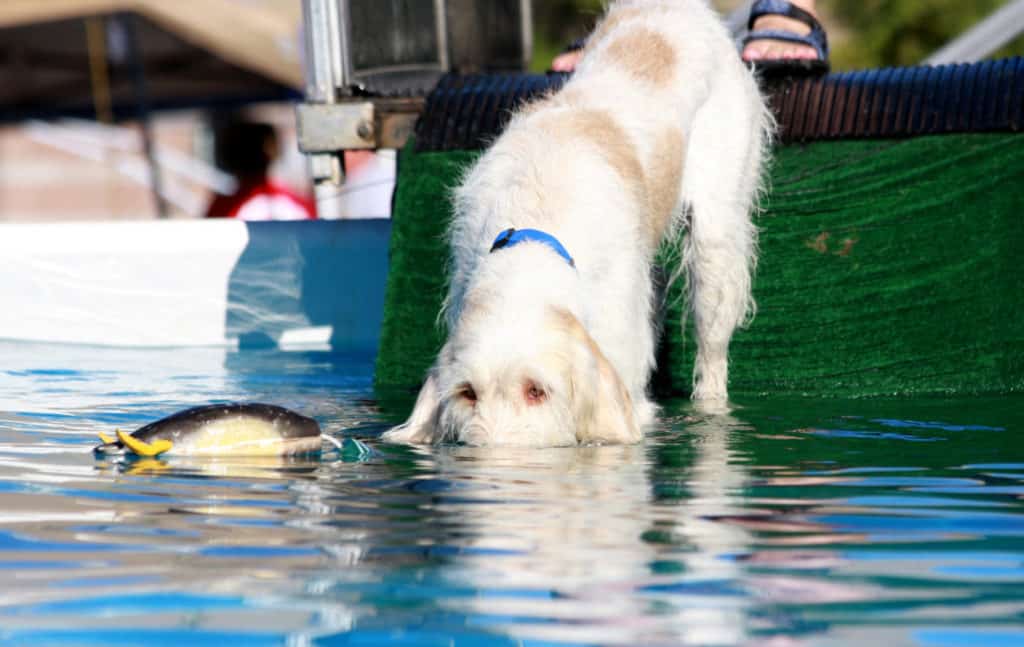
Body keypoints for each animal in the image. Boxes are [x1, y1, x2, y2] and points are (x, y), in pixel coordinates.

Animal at [385, 0, 770, 444]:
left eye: (537, 390)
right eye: (467, 393)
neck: (534, 236)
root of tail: (684, 11)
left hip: (715, 248)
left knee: (713, 349)